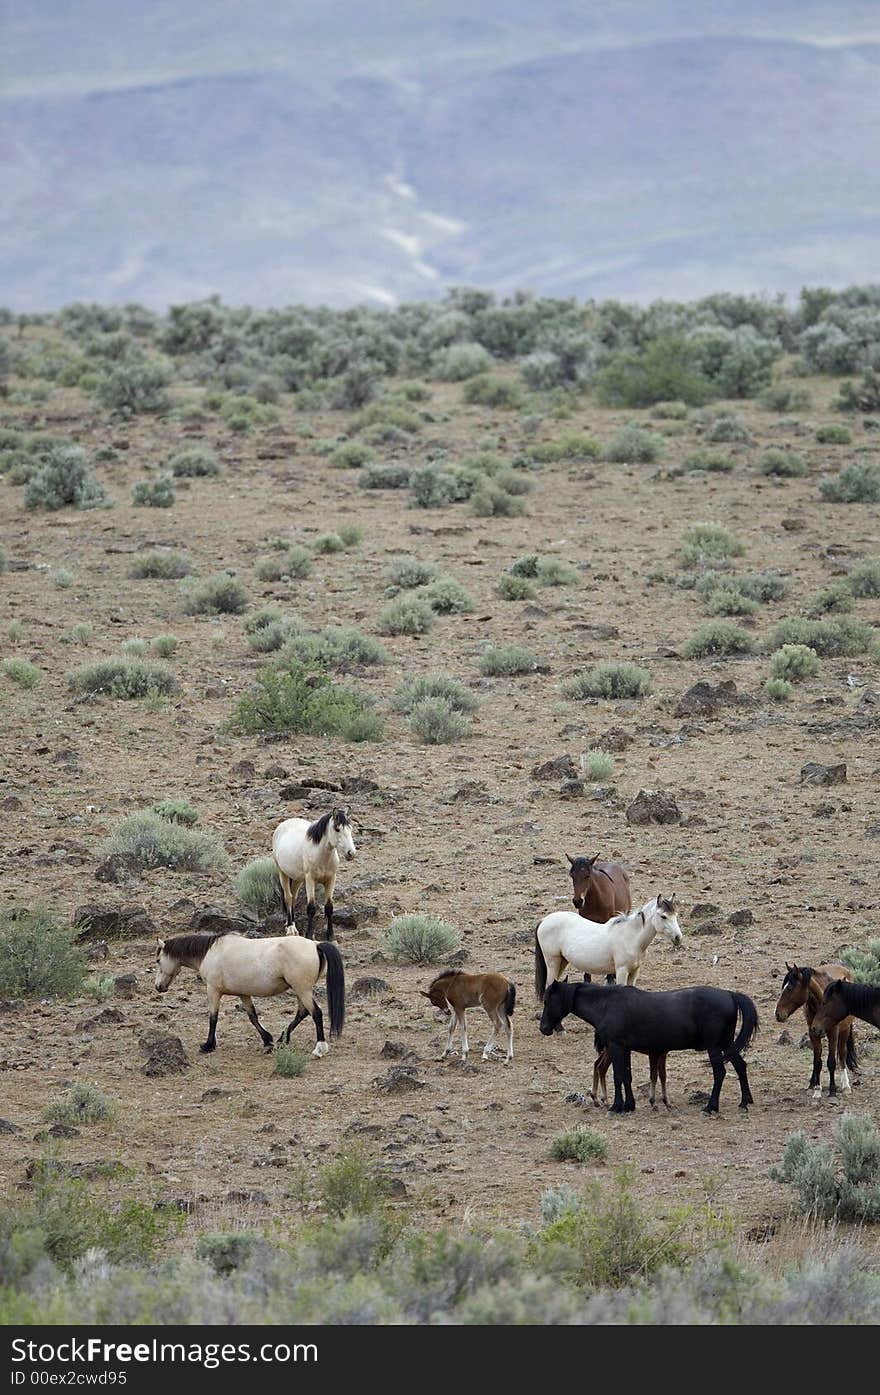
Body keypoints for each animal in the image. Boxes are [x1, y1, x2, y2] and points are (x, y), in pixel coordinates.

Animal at [153, 926, 345, 1054]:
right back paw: (282, 1040)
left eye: (158, 960)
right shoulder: (243, 994)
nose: (158, 987)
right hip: (300, 990)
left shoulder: (213, 991)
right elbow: (253, 1017)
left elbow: (213, 1018)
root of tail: (315, 944)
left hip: (303, 990)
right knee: (302, 1013)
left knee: (316, 1013)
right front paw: (267, 1040)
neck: (211, 952)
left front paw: (208, 1045)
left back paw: (319, 1048)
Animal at [270, 809, 357, 937]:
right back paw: (291, 928)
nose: (351, 853)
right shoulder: (310, 880)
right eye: (337, 829)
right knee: (288, 898)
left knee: (293, 897)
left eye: (350, 828)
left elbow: (329, 907)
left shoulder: (331, 879)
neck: (319, 855)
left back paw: (292, 925)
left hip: (297, 879)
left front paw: (330, 936)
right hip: (283, 874)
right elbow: (311, 908)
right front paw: (309, 934)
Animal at [532, 892, 686, 1004]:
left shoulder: (634, 971)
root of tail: (544, 920)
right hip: (553, 961)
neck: (630, 937)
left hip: (562, 961)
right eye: (663, 916)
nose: (678, 938)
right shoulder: (622, 971)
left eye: (676, 915)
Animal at [541, 976, 758, 1116]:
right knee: (741, 1066)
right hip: (726, 1044)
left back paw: (711, 1106)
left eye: (547, 1001)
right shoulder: (624, 1049)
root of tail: (730, 994)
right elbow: (626, 1077)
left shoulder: (616, 1047)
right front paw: (629, 1105)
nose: (543, 1028)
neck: (607, 1004)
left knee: (720, 1073)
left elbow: (618, 1076)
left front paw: (616, 1106)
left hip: (714, 1047)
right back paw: (744, 1102)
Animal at [775, 965, 859, 1093]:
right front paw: (816, 1089)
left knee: (842, 1053)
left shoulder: (833, 1033)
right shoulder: (813, 1032)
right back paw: (812, 1083)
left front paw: (832, 1090)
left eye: (789, 988)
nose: (778, 1014)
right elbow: (817, 1061)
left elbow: (831, 1061)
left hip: (845, 1030)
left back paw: (845, 1085)